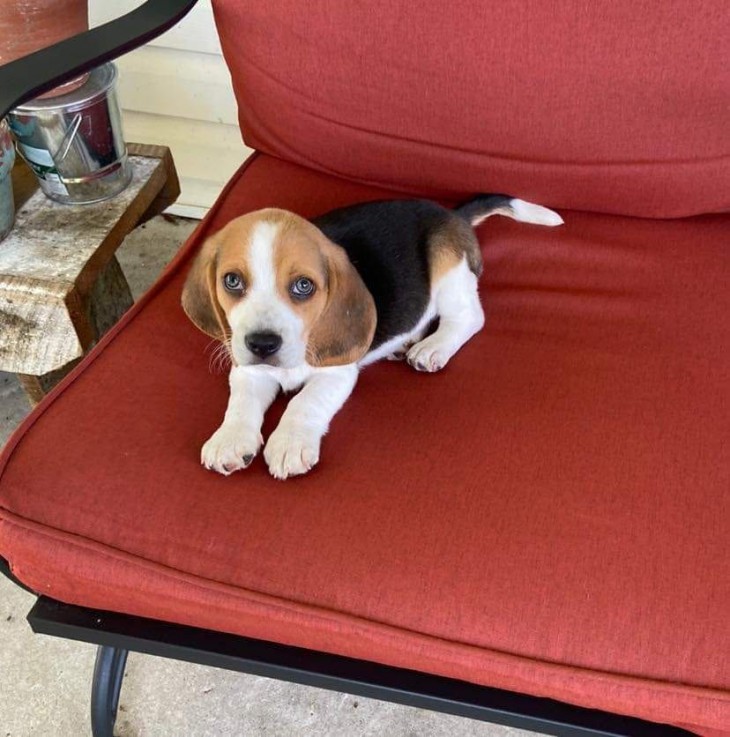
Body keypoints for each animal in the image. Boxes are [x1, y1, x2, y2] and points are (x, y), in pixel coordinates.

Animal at [183, 196, 564, 480]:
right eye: (232, 281)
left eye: (304, 286)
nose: (262, 344)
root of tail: (452, 215)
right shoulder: (247, 367)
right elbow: (242, 401)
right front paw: (230, 439)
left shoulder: (337, 373)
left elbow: (304, 401)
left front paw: (290, 442)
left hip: (448, 267)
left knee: (469, 317)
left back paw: (431, 347)